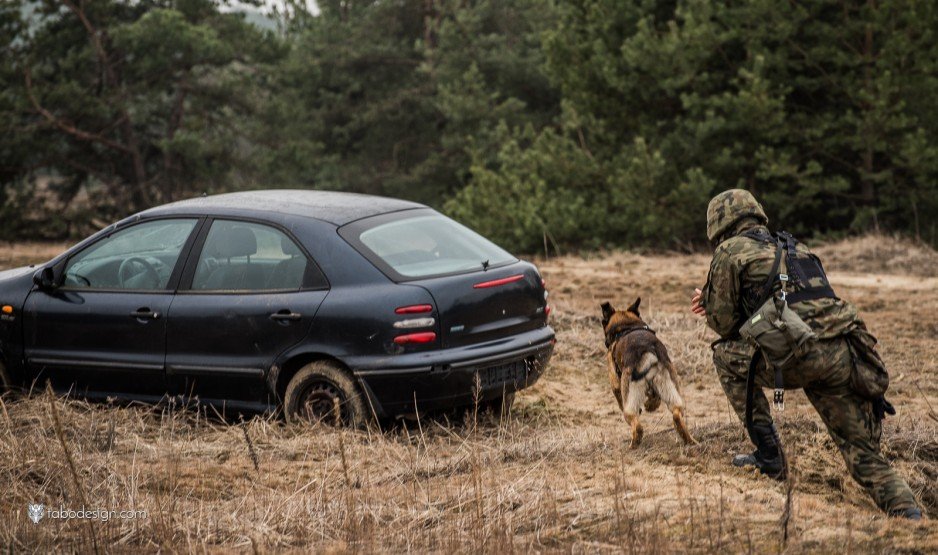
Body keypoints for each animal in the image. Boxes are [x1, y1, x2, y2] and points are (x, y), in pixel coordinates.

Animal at [600, 300, 696, 448]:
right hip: (672, 391)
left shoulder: (615, 383)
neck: (626, 325)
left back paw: (634, 445)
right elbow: (654, 399)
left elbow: (619, 398)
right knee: (676, 414)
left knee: (636, 424)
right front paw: (651, 405)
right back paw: (690, 441)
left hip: (630, 400)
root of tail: (647, 351)